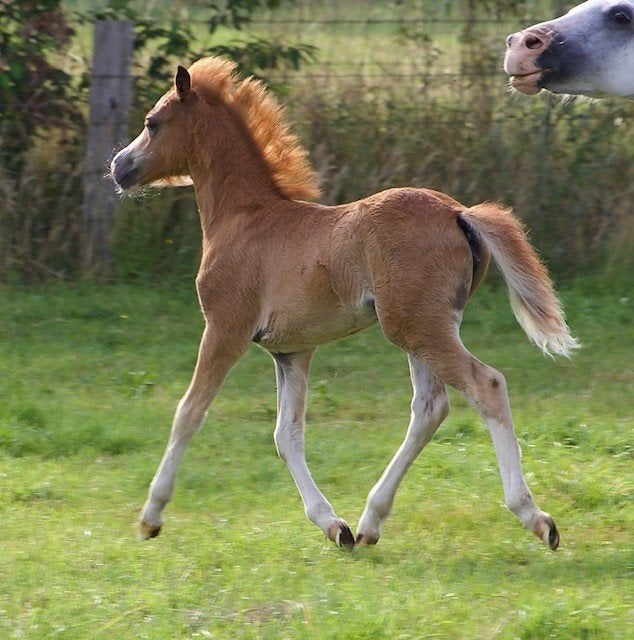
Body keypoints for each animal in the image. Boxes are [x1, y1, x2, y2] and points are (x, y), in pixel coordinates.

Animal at [111, 57, 579, 550]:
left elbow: (188, 413)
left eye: (152, 122)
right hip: (423, 327)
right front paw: (334, 526)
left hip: (417, 327)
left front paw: (151, 516)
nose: (119, 165)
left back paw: (534, 517)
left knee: (485, 385)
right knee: (430, 407)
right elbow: (287, 435)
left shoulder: (224, 329)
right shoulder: (292, 350)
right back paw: (371, 521)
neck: (243, 220)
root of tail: (459, 212)